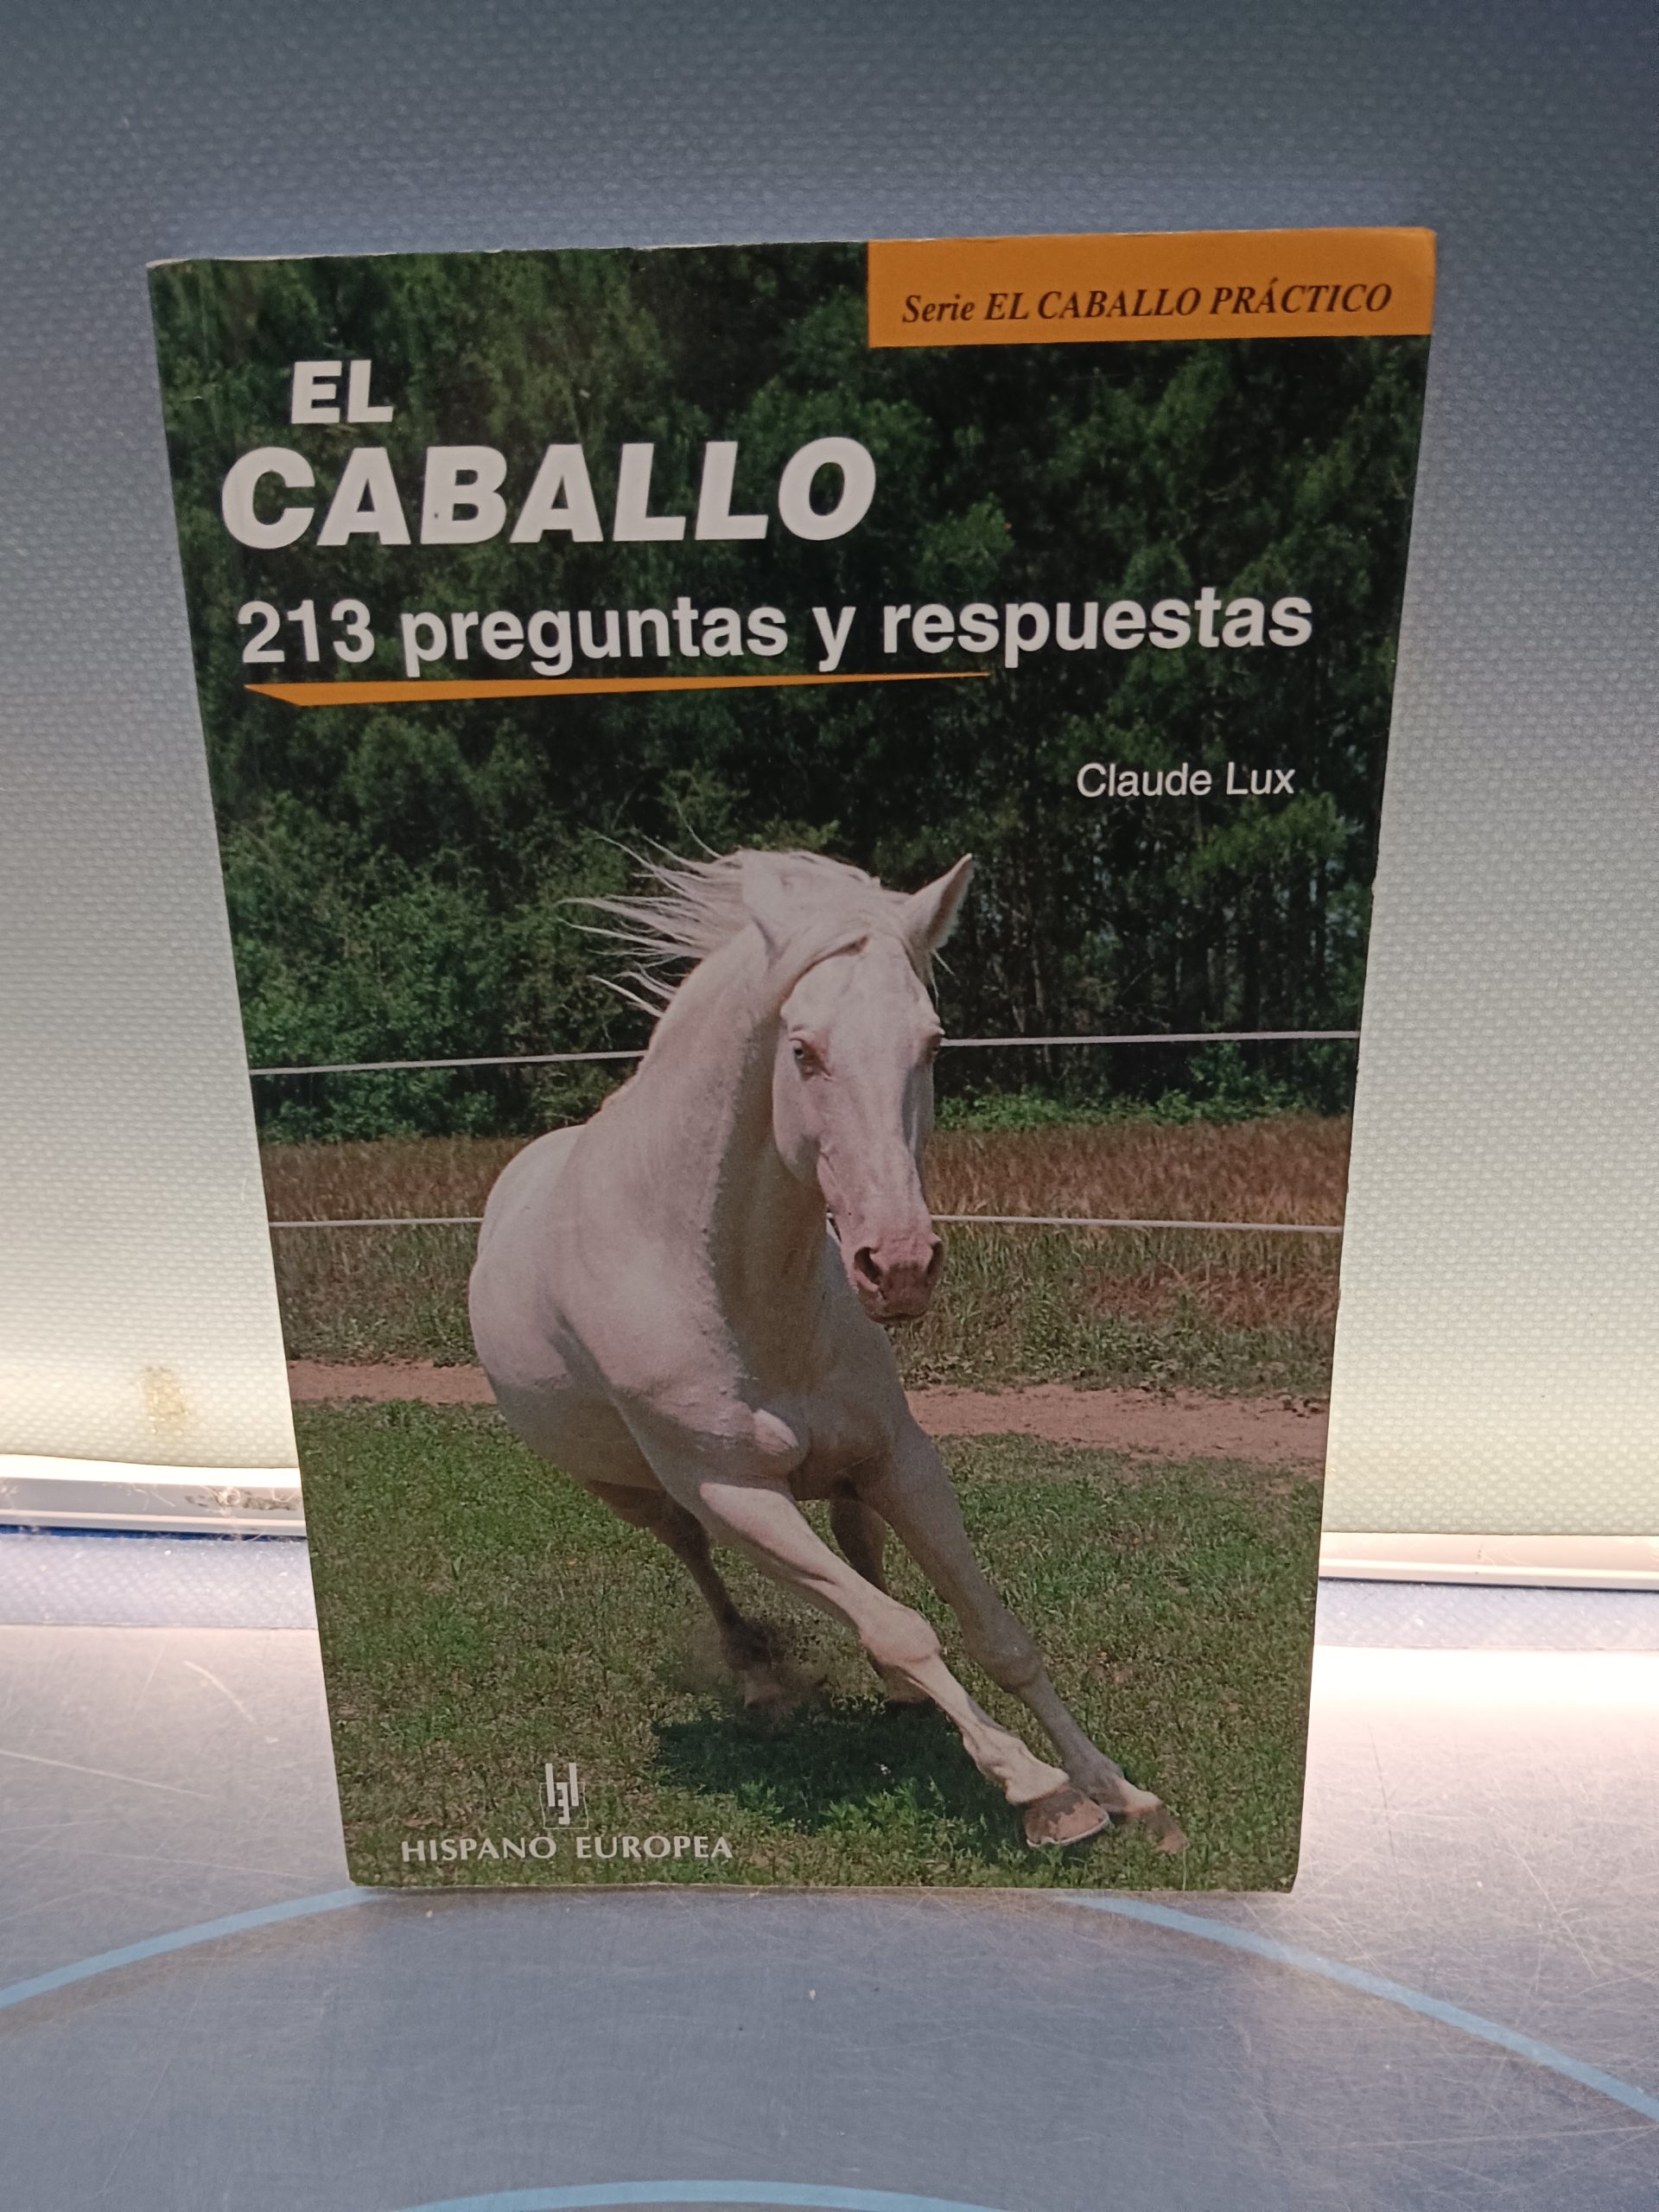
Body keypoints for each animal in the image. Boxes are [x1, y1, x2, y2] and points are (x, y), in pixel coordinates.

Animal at [469, 847, 1183, 1853]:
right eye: (801, 1049)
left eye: (933, 1044)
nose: (901, 1266)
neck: (734, 1286)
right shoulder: (738, 1495)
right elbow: (900, 1627)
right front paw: (1041, 1792)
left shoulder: (901, 1456)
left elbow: (995, 1630)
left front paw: (1118, 1790)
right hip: (630, 1493)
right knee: (693, 1553)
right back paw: (760, 1679)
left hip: (847, 1470)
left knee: (856, 1535)